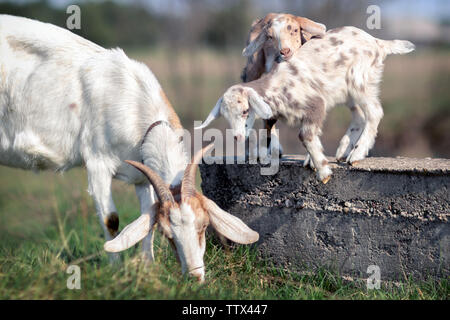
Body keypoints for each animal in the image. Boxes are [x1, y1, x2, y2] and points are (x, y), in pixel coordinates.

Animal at [0, 15, 258, 282]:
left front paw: (148, 268)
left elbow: (146, 219)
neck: (129, 98)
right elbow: (110, 219)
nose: (194, 278)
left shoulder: (142, 176)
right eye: (168, 234)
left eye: (204, 225)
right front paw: (115, 270)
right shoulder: (98, 164)